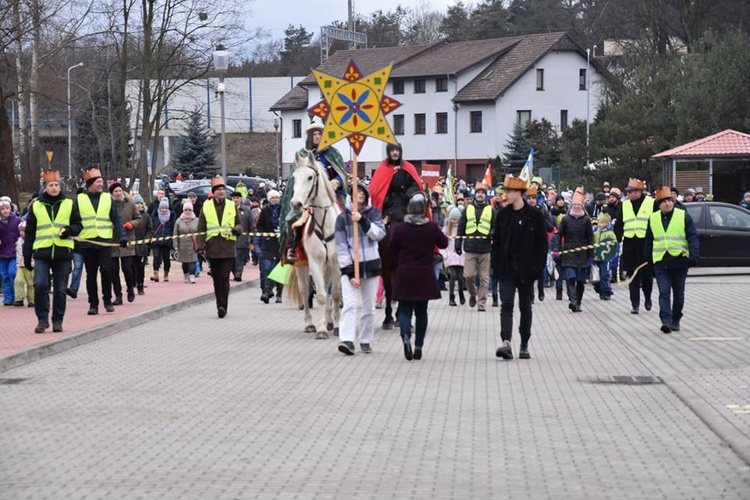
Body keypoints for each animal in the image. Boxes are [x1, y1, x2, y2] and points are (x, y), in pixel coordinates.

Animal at [284, 151, 344, 340]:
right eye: (294, 177)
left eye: (310, 177)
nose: (295, 204)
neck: (325, 223)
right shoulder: (315, 262)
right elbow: (322, 296)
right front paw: (322, 329)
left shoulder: (336, 263)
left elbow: (336, 294)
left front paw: (337, 326)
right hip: (301, 265)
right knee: (305, 291)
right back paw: (310, 324)